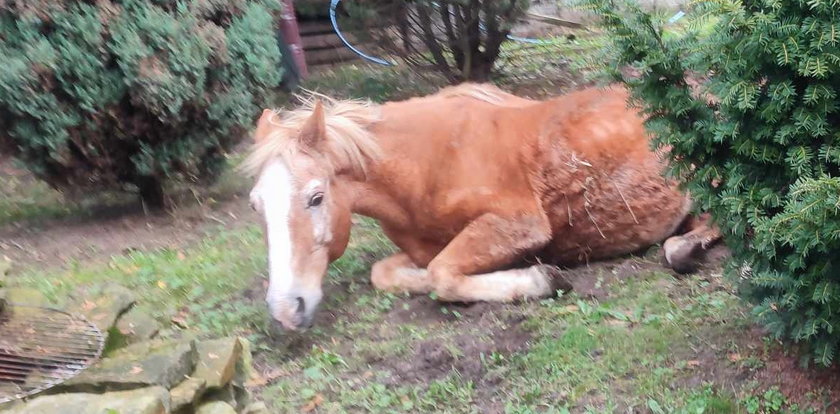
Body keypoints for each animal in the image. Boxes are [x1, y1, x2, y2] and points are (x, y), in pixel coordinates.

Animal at [240, 83, 720, 330]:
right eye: (256, 206)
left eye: (316, 197)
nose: (286, 309)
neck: (427, 165)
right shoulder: (423, 247)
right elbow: (393, 273)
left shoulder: (519, 222)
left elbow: (442, 275)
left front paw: (540, 278)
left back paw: (686, 248)